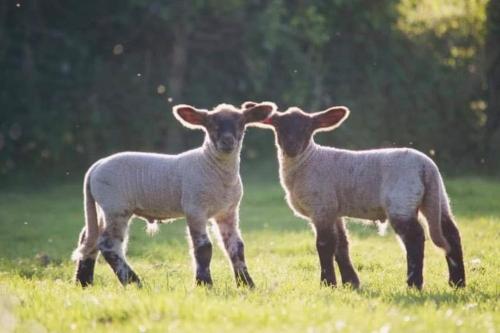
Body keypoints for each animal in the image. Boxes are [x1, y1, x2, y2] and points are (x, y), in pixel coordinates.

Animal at [72, 101, 276, 288]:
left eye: (241, 123)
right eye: (211, 124)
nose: (227, 141)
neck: (211, 166)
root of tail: (96, 166)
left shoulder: (228, 212)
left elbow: (236, 247)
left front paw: (247, 284)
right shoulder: (195, 208)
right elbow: (203, 248)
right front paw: (204, 284)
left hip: (103, 207)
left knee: (88, 238)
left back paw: (83, 283)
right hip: (116, 207)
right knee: (108, 244)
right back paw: (133, 282)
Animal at [248, 102, 466, 290]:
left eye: (307, 128)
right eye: (279, 127)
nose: (291, 148)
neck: (307, 161)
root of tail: (426, 167)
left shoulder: (322, 206)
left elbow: (324, 245)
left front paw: (327, 283)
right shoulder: (334, 211)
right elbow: (342, 246)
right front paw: (350, 282)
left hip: (401, 200)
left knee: (415, 238)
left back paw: (414, 284)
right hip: (437, 199)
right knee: (451, 234)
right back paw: (457, 282)